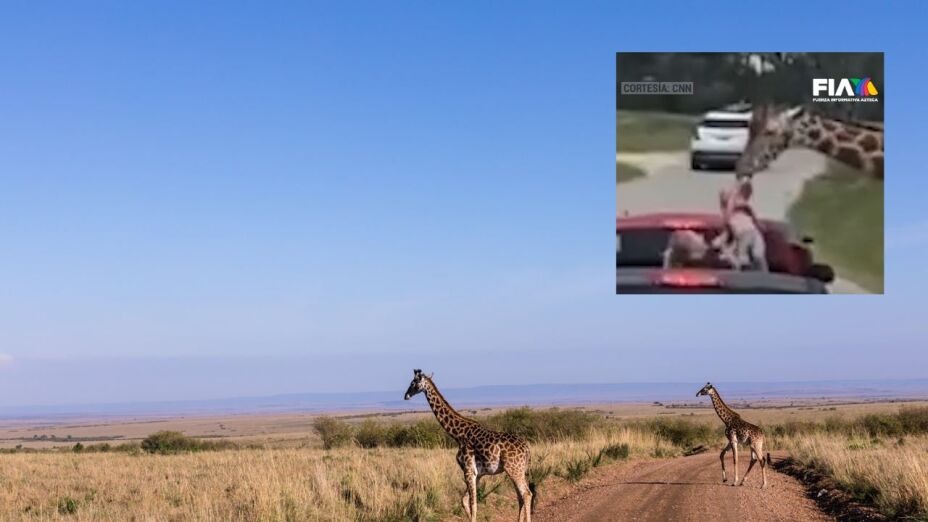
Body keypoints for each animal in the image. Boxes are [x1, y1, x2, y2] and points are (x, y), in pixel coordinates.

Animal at [404, 369, 535, 522]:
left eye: (413, 382)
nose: (406, 395)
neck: (458, 434)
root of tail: (527, 448)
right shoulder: (477, 474)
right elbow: (464, 500)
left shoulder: (468, 470)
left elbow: (473, 504)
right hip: (519, 470)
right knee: (520, 496)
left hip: (514, 469)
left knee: (526, 494)